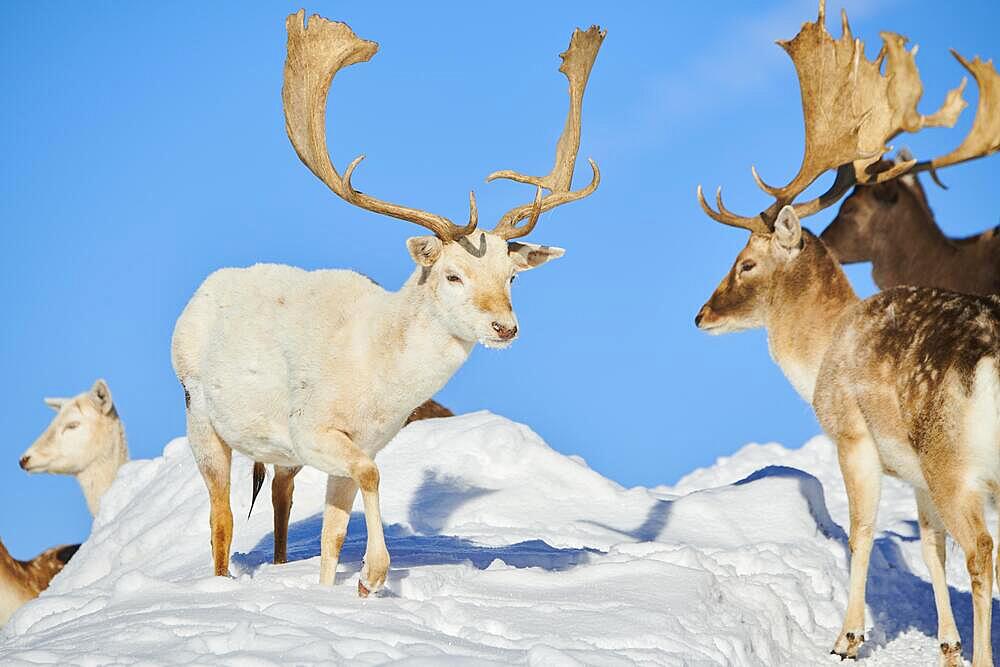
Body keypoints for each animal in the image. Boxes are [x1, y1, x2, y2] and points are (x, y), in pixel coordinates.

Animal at [172, 9, 600, 596]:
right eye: (452, 275)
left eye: (512, 276)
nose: (505, 327)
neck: (380, 382)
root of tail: (196, 299)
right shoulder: (313, 430)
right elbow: (371, 478)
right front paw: (373, 575)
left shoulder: (364, 443)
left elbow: (332, 535)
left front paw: (339, 589)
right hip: (201, 417)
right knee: (222, 516)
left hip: (276, 456)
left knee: (280, 497)